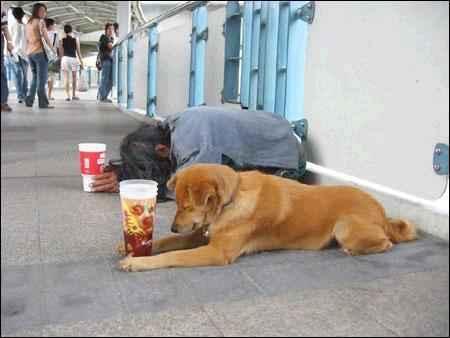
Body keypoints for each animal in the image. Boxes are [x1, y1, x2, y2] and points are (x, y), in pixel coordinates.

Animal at [118, 164, 416, 272]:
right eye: (177, 204)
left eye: (187, 205)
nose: (172, 225)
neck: (232, 200)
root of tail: (382, 213)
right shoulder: (200, 234)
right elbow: (167, 243)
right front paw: (134, 247)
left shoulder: (216, 252)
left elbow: (174, 255)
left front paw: (138, 263)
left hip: (345, 227)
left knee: (386, 243)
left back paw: (354, 250)